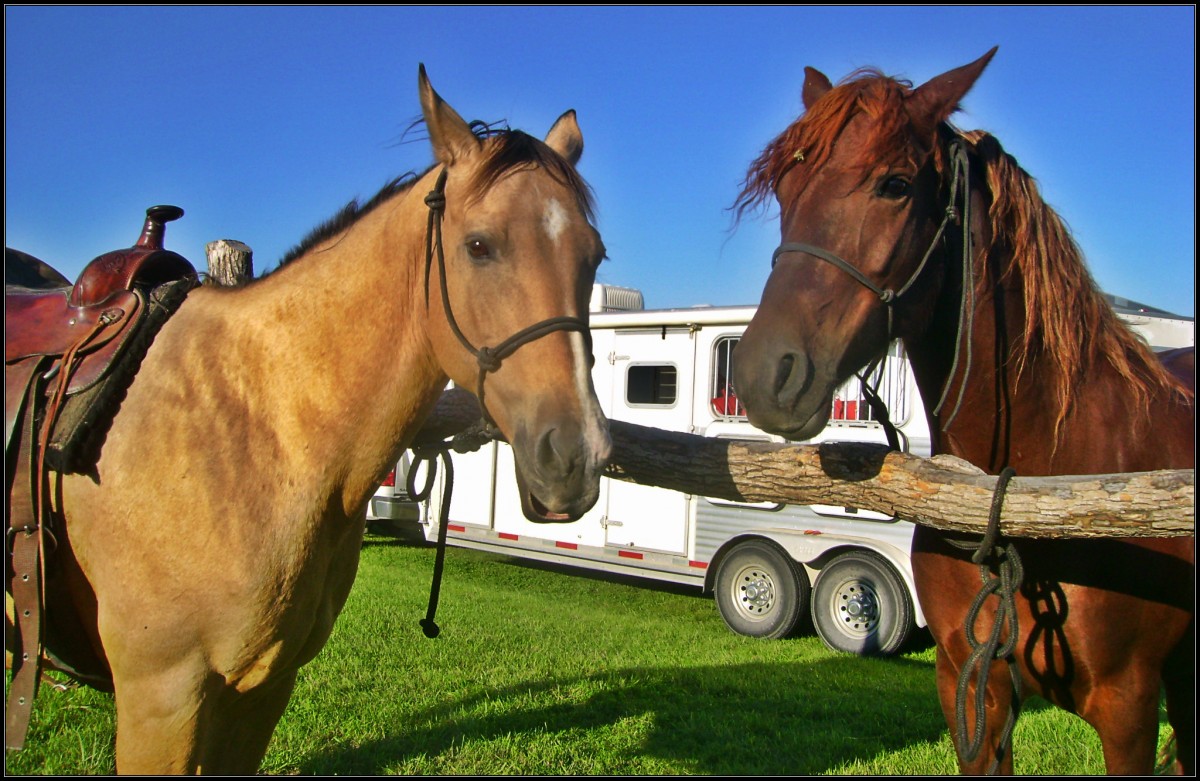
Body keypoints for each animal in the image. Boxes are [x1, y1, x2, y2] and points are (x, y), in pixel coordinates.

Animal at [2, 68, 609, 777]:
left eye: (594, 256)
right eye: (479, 246)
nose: (577, 457)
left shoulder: (261, 690)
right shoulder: (161, 697)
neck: (258, 431)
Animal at [729, 48, 1190, 777]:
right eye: (786, 188)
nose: (762, 373)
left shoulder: (1129, 707)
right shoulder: (971, 687)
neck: (1029, 497)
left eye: (894, 184)